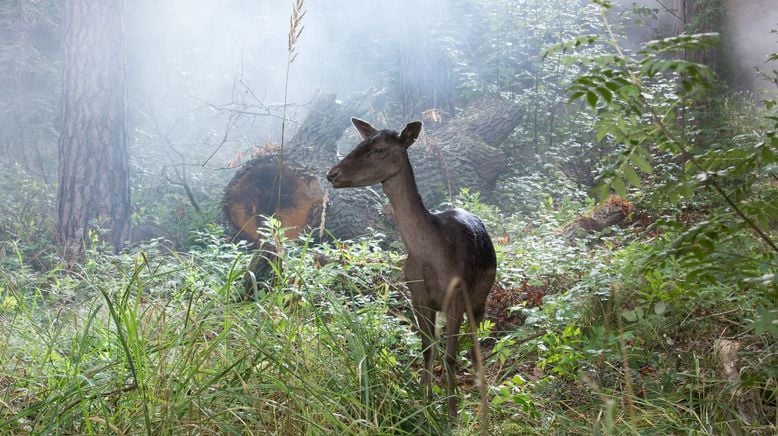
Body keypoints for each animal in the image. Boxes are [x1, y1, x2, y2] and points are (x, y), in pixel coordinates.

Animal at [324, 118, 494, 418]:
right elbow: (427, 349)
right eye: (361, 143)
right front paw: (425, 403)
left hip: (481, 294)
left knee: (475, 344)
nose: (332, 174)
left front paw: (452, 413)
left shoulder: (455, 297)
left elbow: (450, 356)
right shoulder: (417, 297)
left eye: (379, 149)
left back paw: (481, 394)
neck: (428, 254)